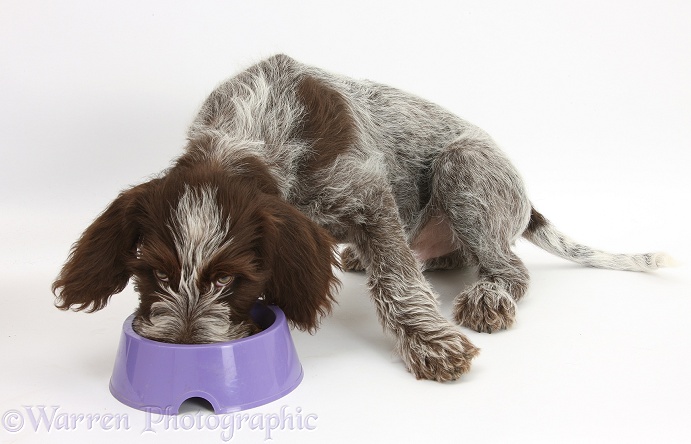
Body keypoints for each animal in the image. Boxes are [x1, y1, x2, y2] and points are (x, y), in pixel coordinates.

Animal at [52, 54, 672, 382]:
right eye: (153, 274)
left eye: (233, 279)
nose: (183, 350)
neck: (247, 133)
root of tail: (525, 200)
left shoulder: (369, 197)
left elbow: (398, 281)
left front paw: (430, 343)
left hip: (465, 166)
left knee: (507, 266)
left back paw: (490, 294)